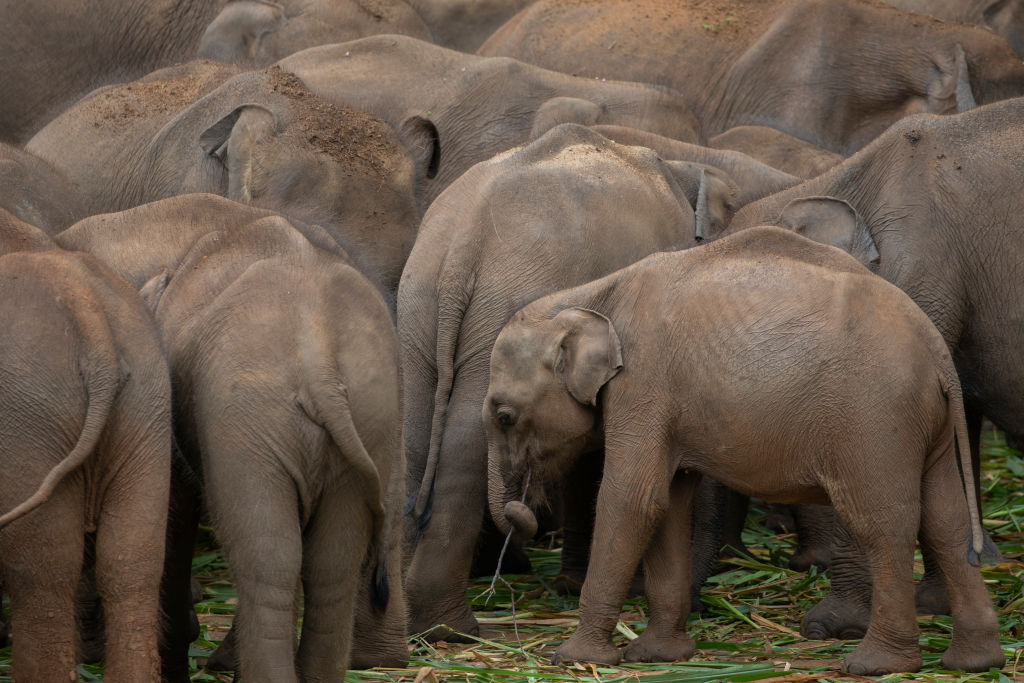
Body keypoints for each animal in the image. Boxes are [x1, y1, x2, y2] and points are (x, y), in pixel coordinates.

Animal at [56, 193, 408, 680]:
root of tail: (320, 362)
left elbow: (174, 514)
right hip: (367, 417)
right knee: (330, 564)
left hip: (248, 424)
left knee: (267, 556)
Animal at [399, 123, 729, 640]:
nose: (701, 606)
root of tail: (462, 242)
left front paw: (572, 585)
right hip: (494, 309)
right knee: (464, 447)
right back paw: (451, 630)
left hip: (418, 305)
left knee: (413, 440)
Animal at [484, 226, 1004, 675]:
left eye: (504, 415)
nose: (523, 512)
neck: (590, 297)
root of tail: (936, 347)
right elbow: (668, 505)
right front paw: (660, 657)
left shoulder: (643, 384)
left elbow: (631, 500)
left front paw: (573, 658)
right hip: (926, 423)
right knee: (946, 521)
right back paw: (974, 663)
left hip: (876, 416)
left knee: (883, 522)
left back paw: (876, 664)